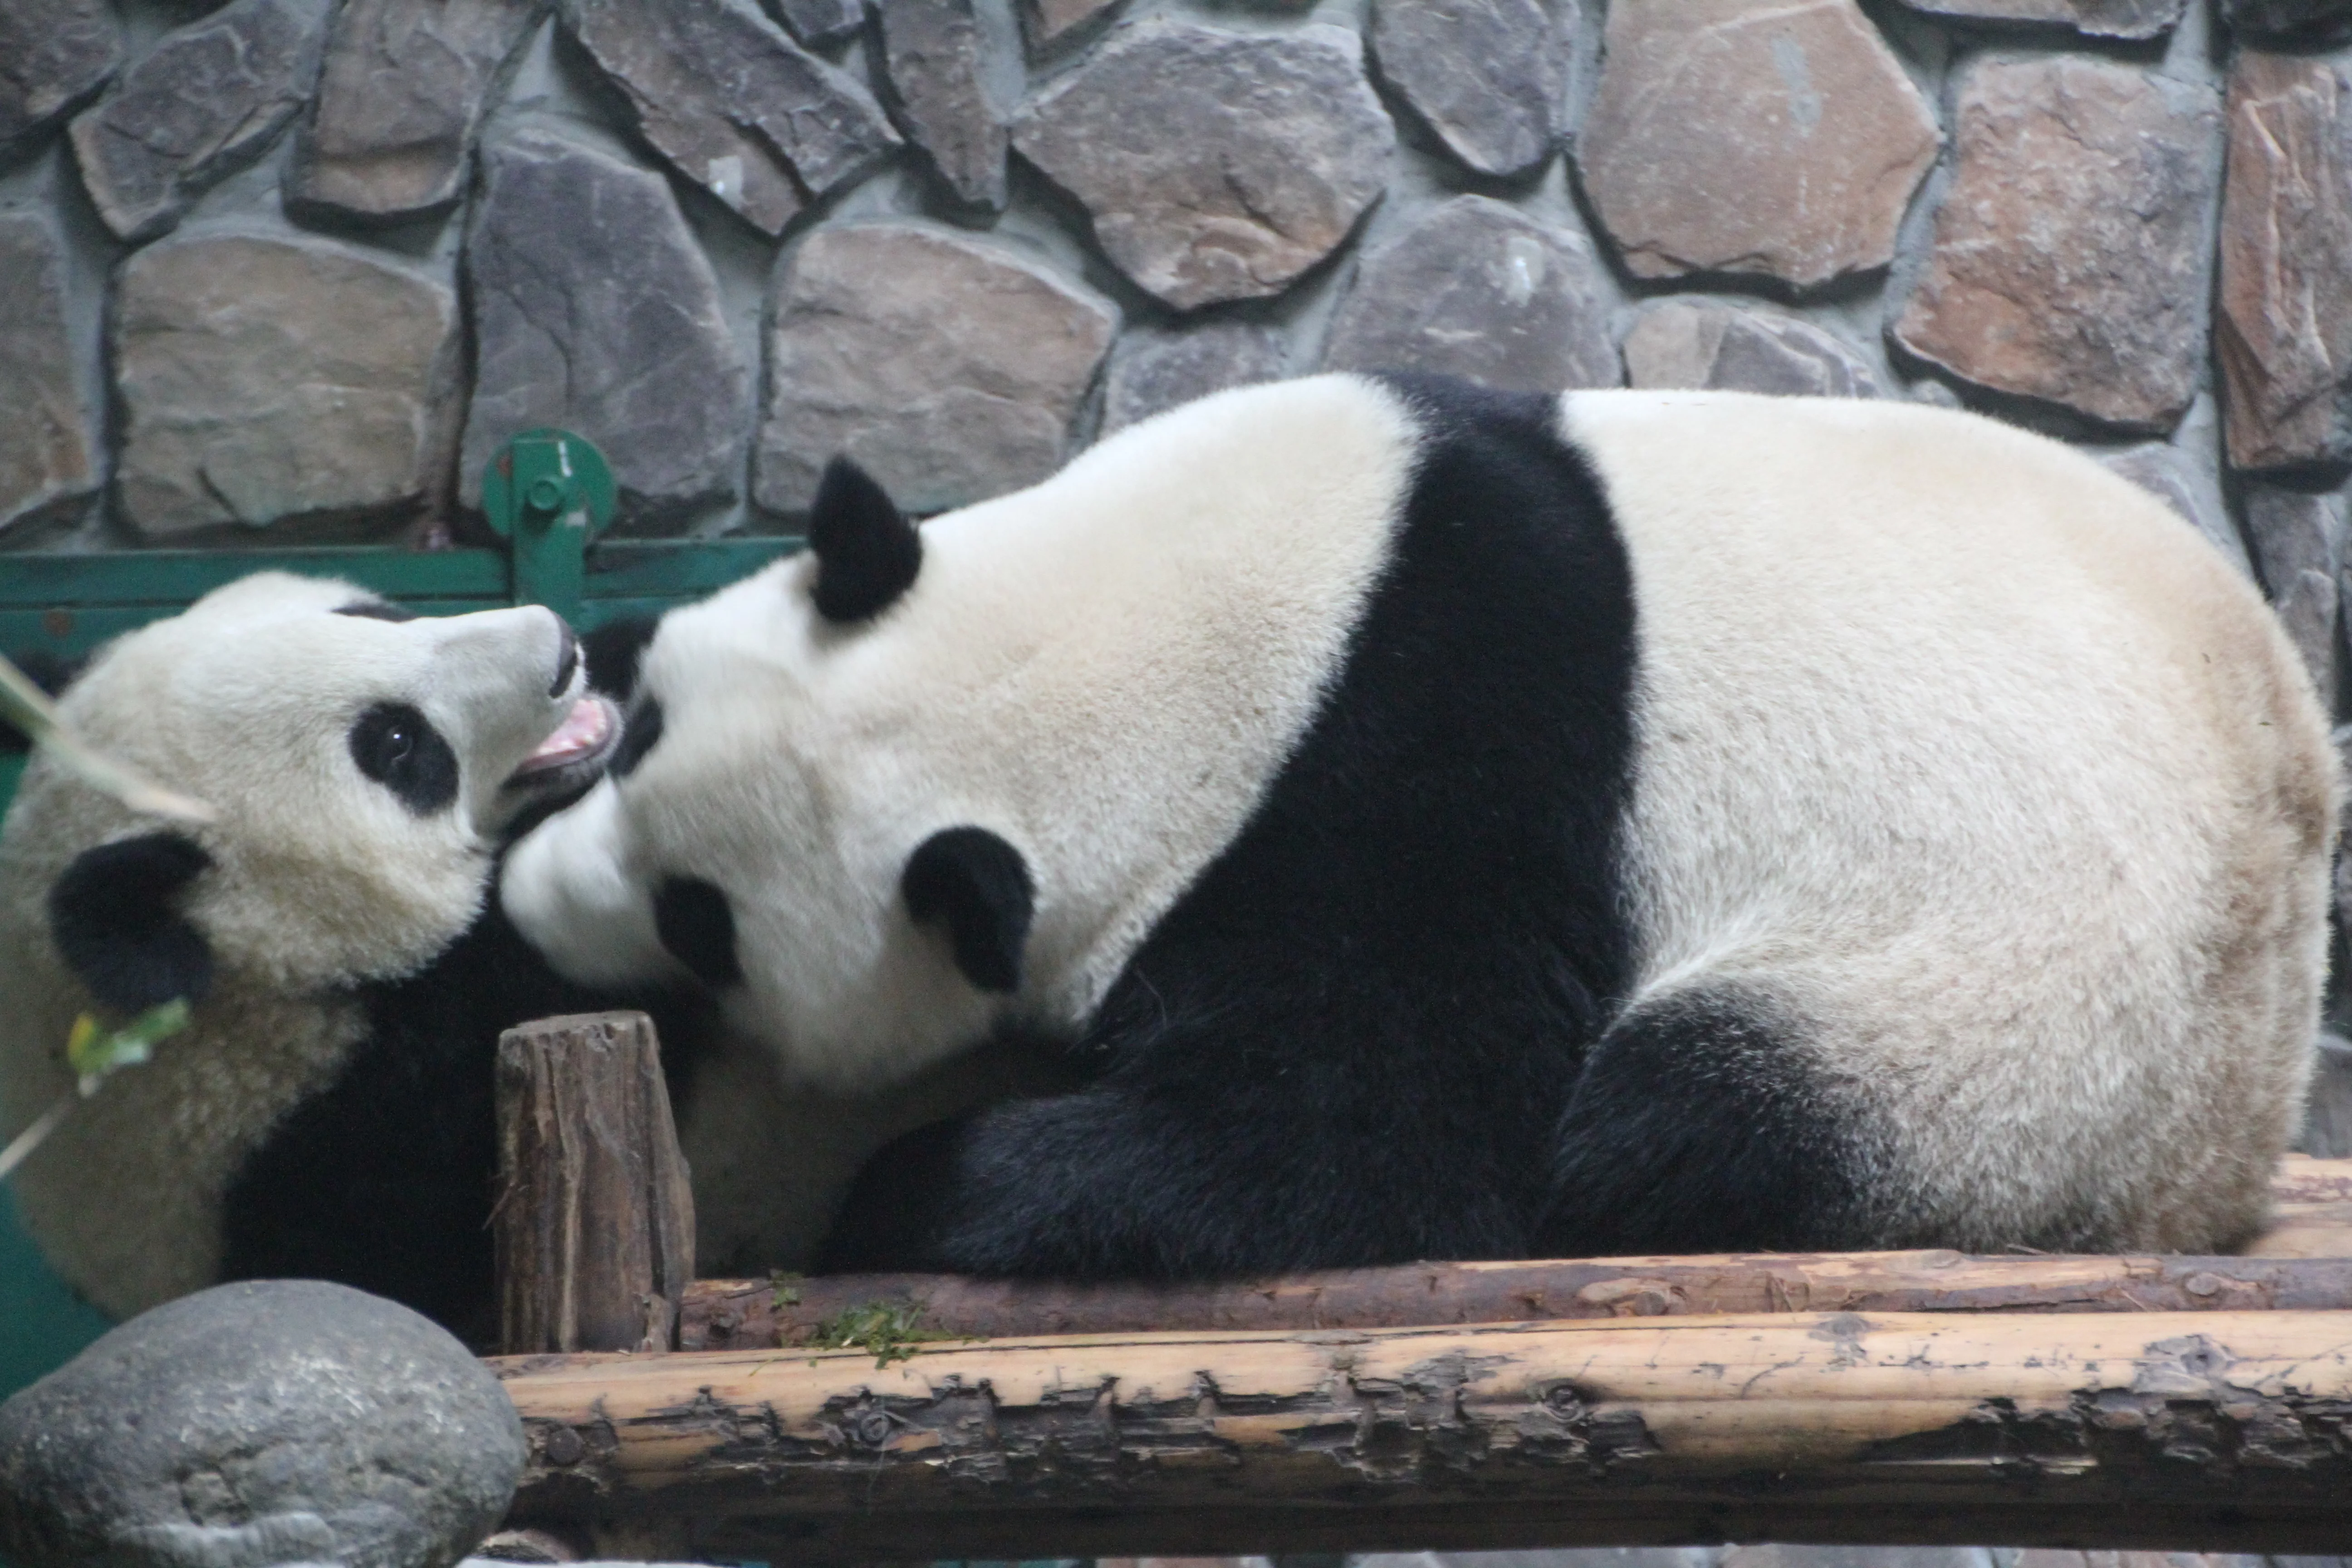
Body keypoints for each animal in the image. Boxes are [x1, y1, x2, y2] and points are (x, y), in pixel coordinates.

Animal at [501, 372, 2337, 1280]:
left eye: (702, 920)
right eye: (647, 730)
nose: (532, 904)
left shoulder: (1438, 783)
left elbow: (1367, 1142)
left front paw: (918, 1191)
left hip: (2025, 1017)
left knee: (1689, 1111)